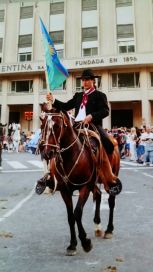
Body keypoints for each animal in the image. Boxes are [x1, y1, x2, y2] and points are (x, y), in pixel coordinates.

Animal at [37, 108, 122, 255]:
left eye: (57, 126)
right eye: (42, 127)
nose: (47, 153)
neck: (70, 155)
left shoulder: (84, 187)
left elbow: (77, 213)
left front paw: (85, 242)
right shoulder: (65, 191)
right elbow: (70, 216)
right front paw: (72, 244)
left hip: (110, 178)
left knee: (111, 201)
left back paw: (109, 230)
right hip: (94, 182)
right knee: (98, 195)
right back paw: (97, 226)